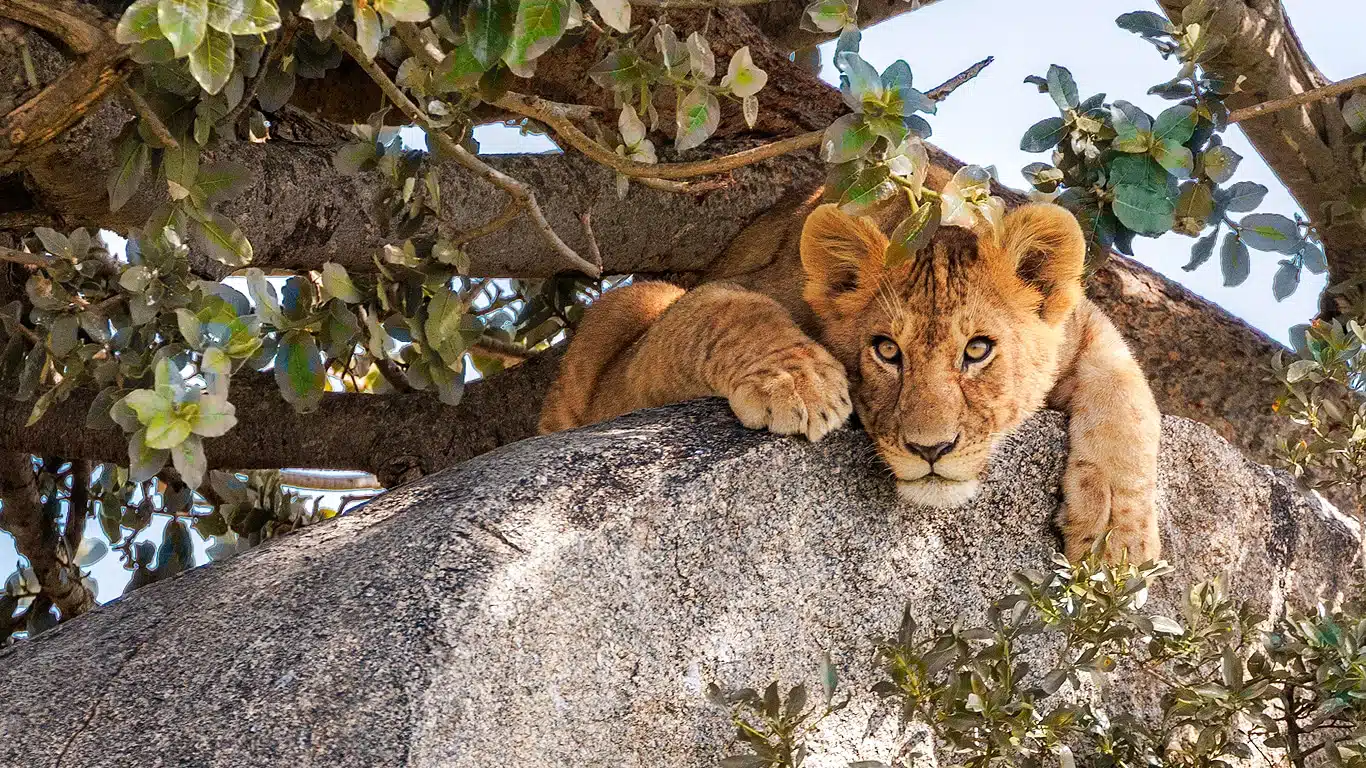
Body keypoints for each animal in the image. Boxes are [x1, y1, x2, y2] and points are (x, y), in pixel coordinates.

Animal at [538, 181, 1161, 563]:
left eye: (978, 350)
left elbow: (1129, 396)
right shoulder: (647, 358)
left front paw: (1117, 536)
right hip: (629, 305)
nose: (930, 449)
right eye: (886, 351)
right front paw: (802, 382)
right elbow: (726, 307)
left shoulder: (1084, 329)